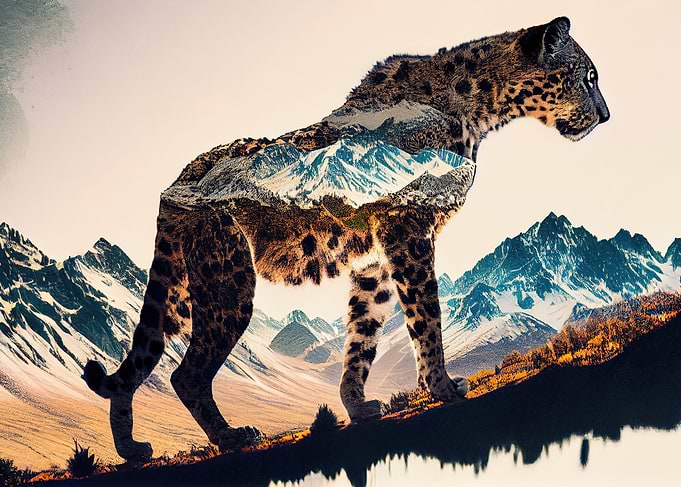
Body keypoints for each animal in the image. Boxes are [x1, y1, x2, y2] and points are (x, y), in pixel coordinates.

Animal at [83, 16, 609, 462]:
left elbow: (363, 335)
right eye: (588, 76)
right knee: (185, 373)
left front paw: (356, 405)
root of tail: (180, 178)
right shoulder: (409, 230)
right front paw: (441, 386)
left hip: (178, 289)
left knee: (141, 355)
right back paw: (232, 437)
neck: (481, 109)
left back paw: (131, 449)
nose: (605, 115)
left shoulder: (374, 259)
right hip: (227, 281)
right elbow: (427, 316)